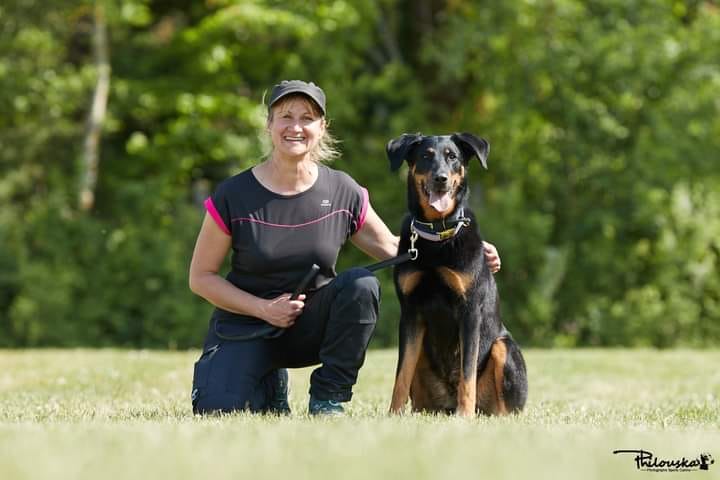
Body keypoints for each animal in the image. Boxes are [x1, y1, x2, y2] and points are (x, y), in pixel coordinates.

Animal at [388, 132, 528, 416]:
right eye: (426, 156)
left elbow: (467, 374)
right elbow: (401, 375)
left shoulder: (470, 311)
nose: (440, 178)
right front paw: (392, 415)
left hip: (503, 347)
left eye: (452, 156)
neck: (437, 234)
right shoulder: (410, 313)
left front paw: (464, 417)